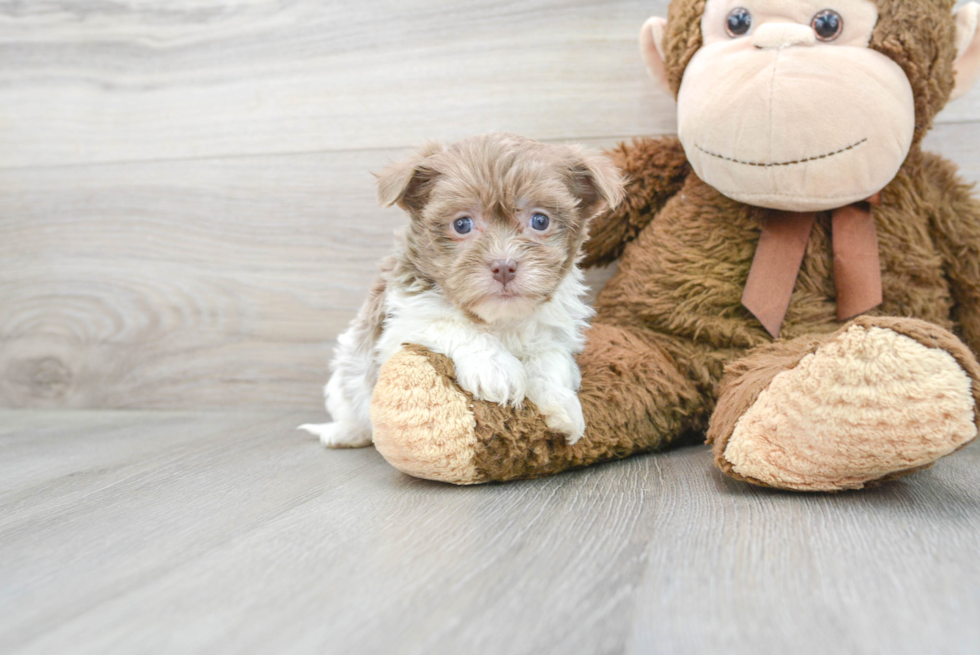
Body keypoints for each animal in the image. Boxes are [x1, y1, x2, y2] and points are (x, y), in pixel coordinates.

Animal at [298, 133, 624, 452]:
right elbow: (451, 323)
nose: (504, 266)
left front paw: (561, 403)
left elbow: (549, 357)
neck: (500, 319)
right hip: (345, 373)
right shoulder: (403, 318)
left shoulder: (554, 329)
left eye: (540, 220)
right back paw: (345, 433)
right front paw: (496, 369)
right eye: (462, 224)